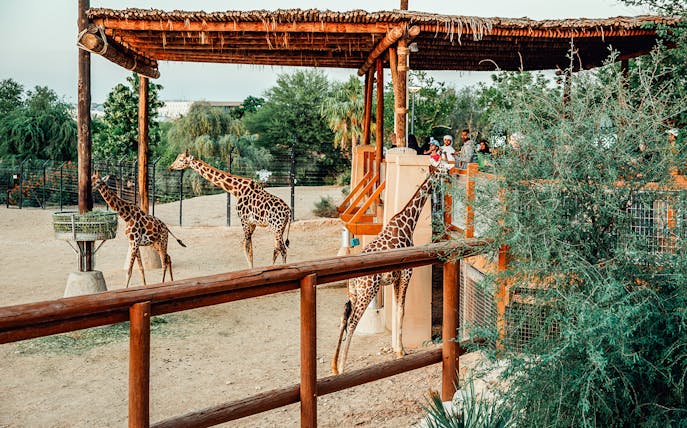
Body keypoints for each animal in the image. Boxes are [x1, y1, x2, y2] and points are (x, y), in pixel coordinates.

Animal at [331, 165, 444, 375]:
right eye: (443, 168)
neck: (408, 224)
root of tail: (353, 279)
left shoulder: (395, 278)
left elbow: (397, 308)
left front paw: (398, 349)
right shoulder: (407, 274)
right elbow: (401, 310)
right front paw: (401, 351)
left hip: (354, 292)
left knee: (344, 317)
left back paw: (334, 366)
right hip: (368, 291)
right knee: (352, 321)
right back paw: (342, 367)